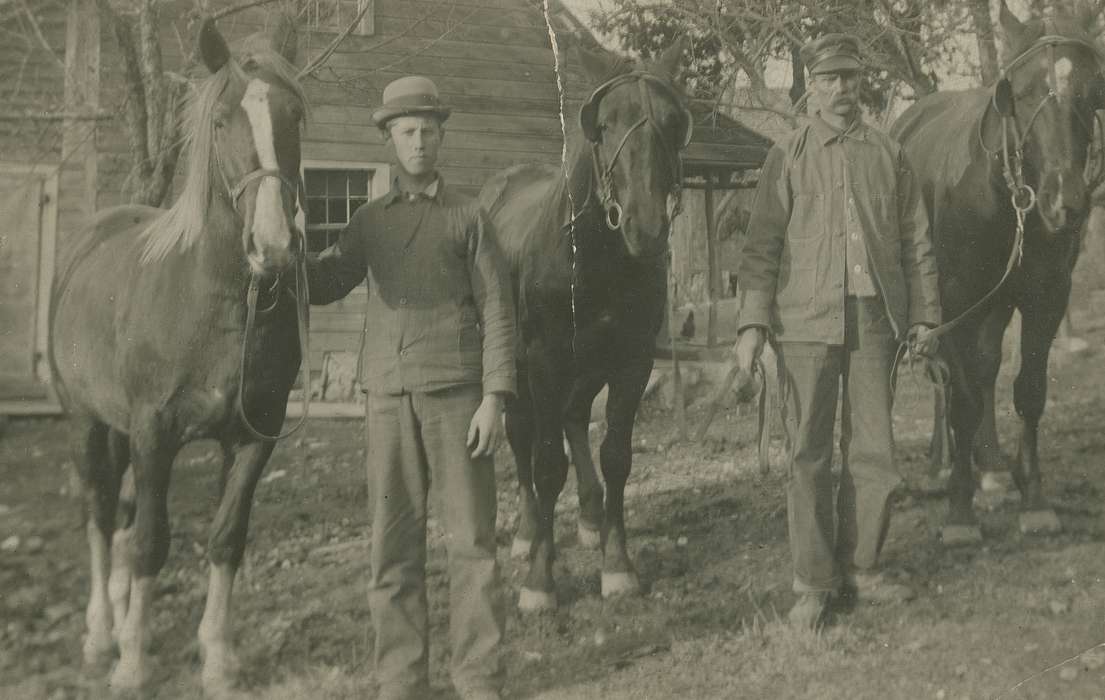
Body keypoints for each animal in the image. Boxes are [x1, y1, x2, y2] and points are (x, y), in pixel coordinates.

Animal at [48, 19, 307, 690]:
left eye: (296, 115)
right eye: (220, 122)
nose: (272, 247)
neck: (216, 301)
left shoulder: (253, 437)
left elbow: (226, 537)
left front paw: (217, 656)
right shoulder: (154, 432)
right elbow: (150, 542)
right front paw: (133, 665)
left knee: (120, 516)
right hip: (87, 424)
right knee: (101, 516)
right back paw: (101, 637)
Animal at [477, 43, 689, 610]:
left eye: (672, 122)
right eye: (605, 124)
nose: (646, 227)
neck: (596, 253)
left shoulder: (632, 360)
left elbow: (616, 455)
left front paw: (617, 564)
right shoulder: (545, 360)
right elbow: (548, 463)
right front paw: (539, 578)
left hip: (588, 364)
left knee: (573, 417)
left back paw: (591, 516)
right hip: (518, 367)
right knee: (523, 436)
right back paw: (530, 532)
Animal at [892, 1, 1100, 539]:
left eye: (1092, 90)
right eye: (1021, 95)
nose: (1065, 200)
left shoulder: (1045, 297)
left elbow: (1028, 391)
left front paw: (1033, 499)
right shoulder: (951, 299)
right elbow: (961, 396)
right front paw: (959, 508)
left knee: (983, 368)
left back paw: (989, 467)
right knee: (945, 376)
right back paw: (940, 468)